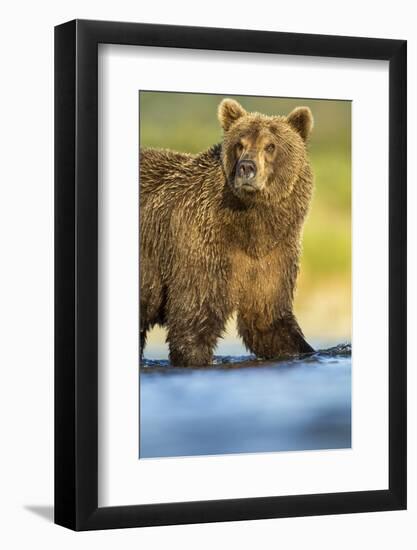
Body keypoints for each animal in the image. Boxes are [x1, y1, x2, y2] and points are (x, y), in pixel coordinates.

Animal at [139, 99, 312, 366]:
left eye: (270, 145)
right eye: (240, 144)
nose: (247, 168)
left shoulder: (274, 253)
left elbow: (268, 320)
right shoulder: (200, 245)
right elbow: (193, 319)